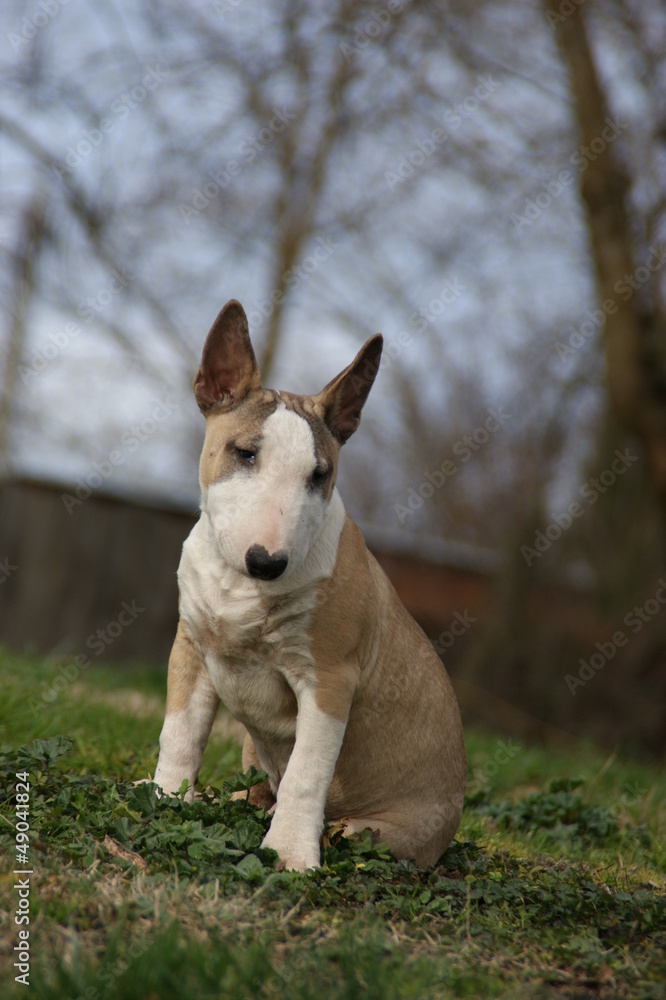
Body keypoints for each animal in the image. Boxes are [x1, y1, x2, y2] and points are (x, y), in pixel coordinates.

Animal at [151, 296, 464, 868]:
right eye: (245, 453)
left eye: (320, 475)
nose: (267, 562)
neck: (240, 585)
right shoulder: (191, 647)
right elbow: (180, 733)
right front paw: (164, 797)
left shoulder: (329, 681)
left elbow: (306, 772)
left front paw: (291, 853)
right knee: (254, 786)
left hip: (378, 829)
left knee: (332, 820)